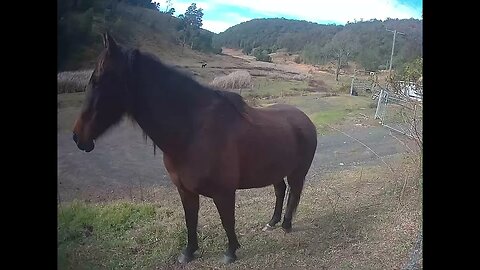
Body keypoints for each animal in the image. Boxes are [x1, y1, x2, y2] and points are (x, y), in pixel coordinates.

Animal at [73, 33, 316, 264]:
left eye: (98, 80)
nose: (77, 137)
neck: (191, 132)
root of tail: (306, 120)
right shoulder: (185, 190)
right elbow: (191, 221)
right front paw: (188, 252)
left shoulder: (224, 193)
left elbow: (227, 221)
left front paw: (231, 252)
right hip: (276, 170)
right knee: (280, 190)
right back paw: (272, 222)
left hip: (297, 173)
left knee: (293, 193)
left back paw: (286, 225)